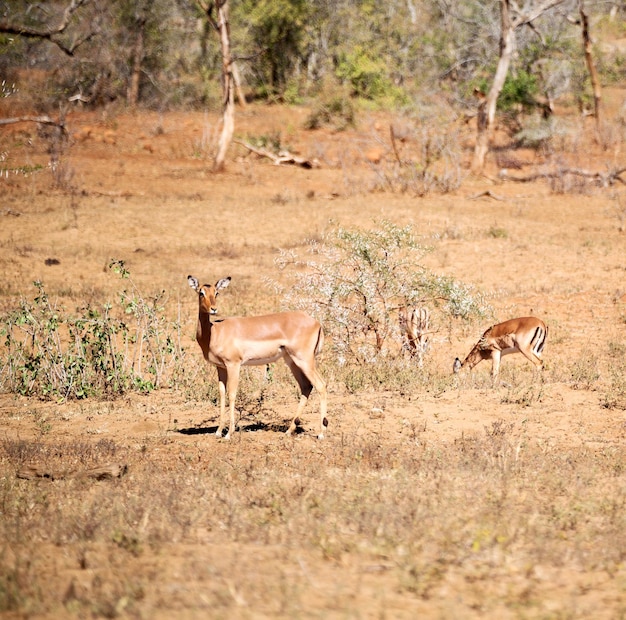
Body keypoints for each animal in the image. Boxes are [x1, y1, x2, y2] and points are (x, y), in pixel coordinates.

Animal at [188, 276, 326, 440]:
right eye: (201, 292)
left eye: (217, 293)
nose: (214, 309)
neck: (214, 331)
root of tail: (317, 323)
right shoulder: (220, 367)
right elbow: (222, 394)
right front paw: (218, 431)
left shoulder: (234, 365)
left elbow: (232, 394)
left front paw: (229, 433)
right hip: (292, 361)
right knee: (306, 386)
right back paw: (289, 431)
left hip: (304, 360)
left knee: (321, 385)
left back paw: (321, 433)